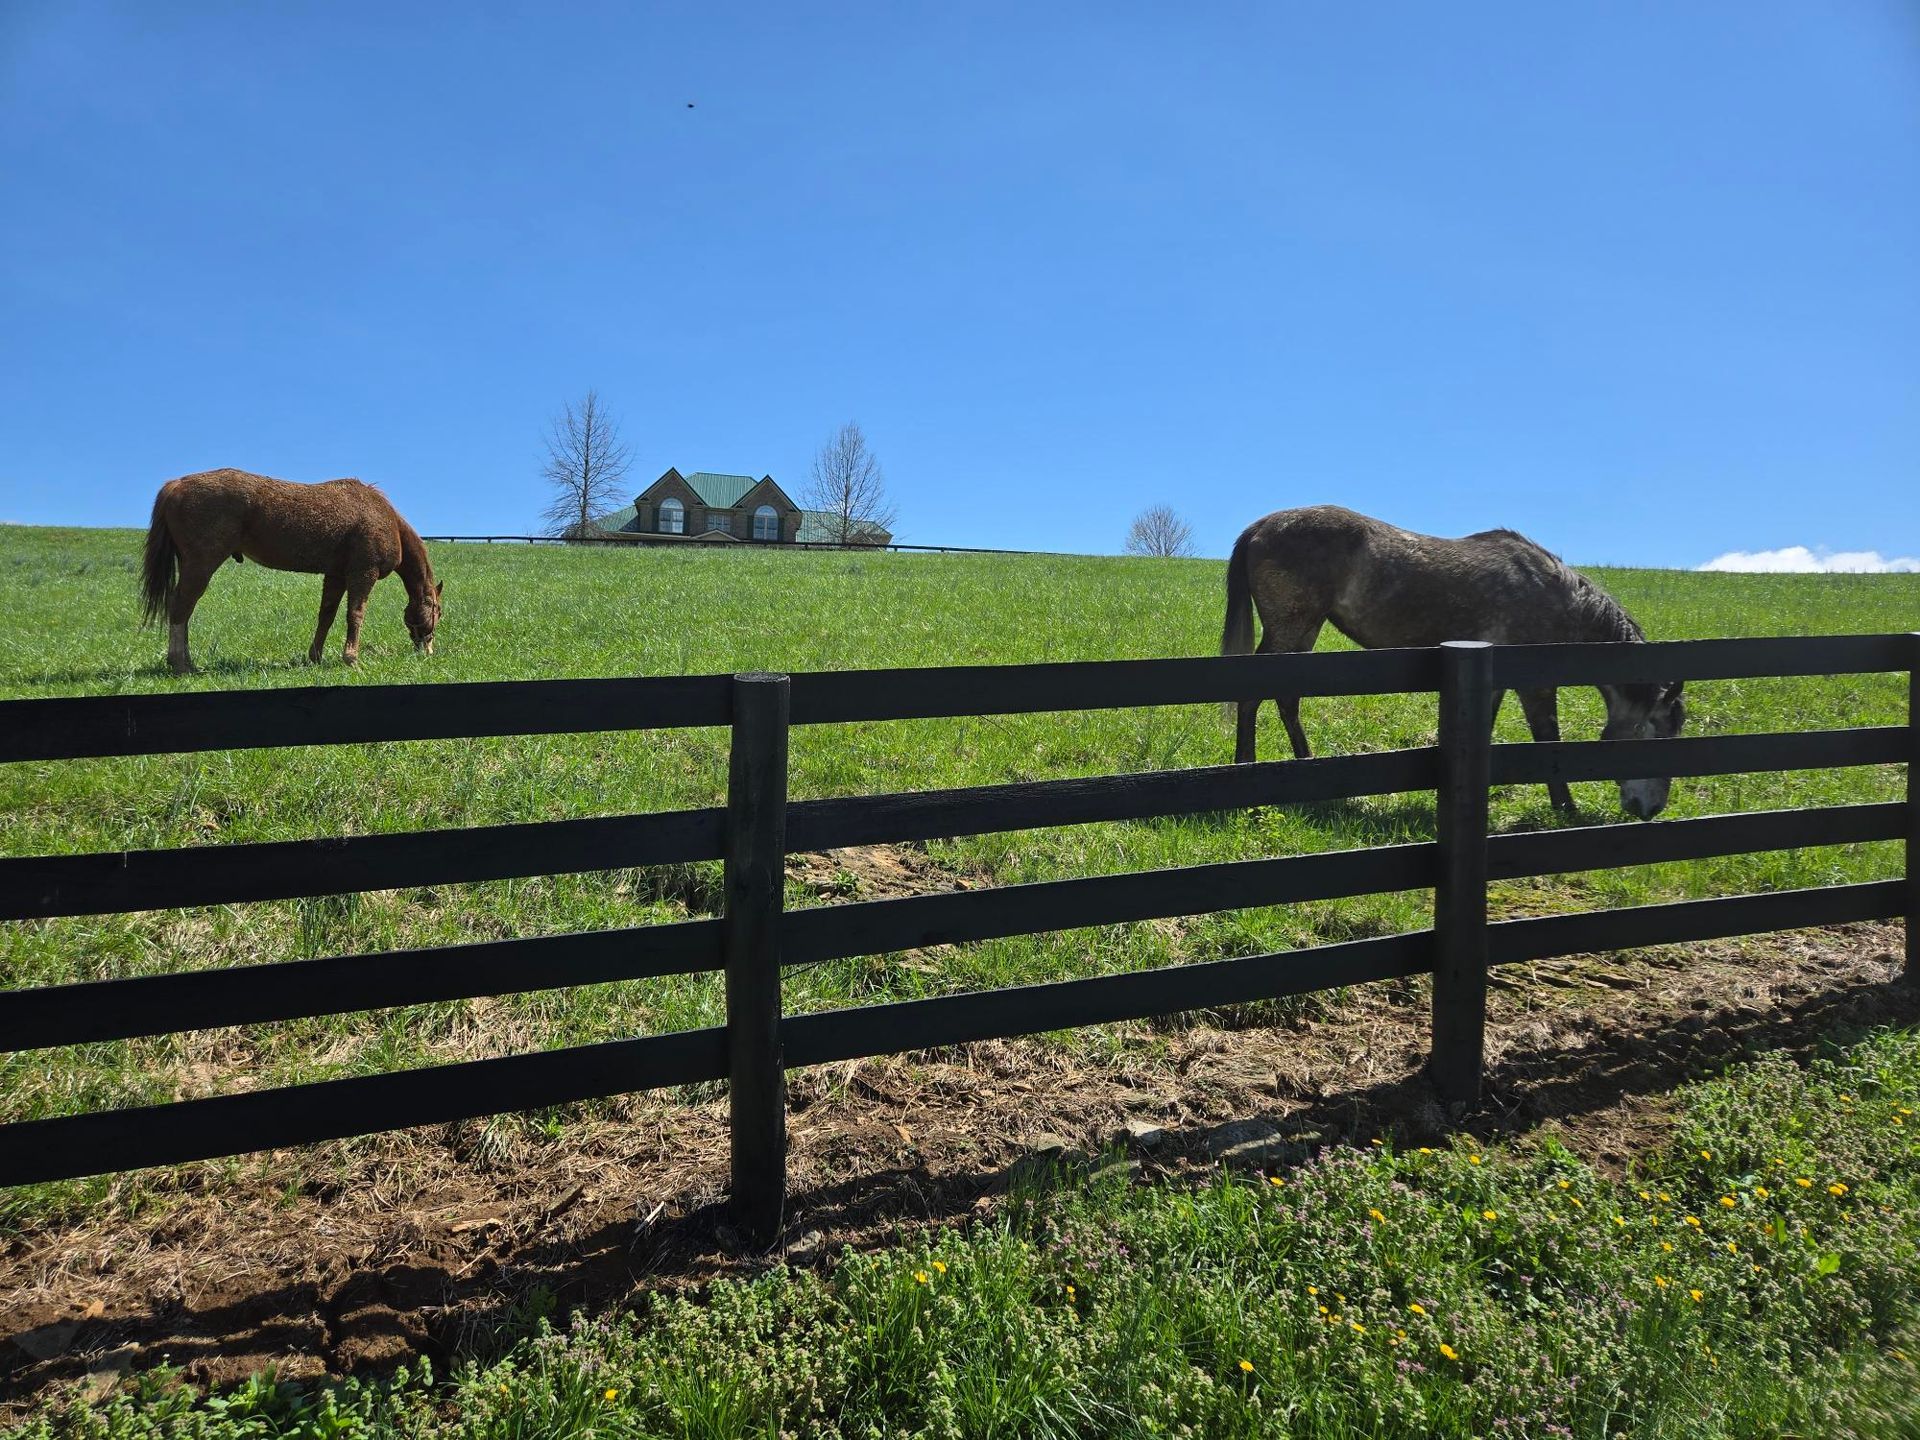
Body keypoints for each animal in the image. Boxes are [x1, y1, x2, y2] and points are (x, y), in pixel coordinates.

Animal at [141, 468, 443, 674]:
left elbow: (326, 616)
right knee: (181, 607)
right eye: (437, 612)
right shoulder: (362, 574)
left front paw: (316, 657)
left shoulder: (335, 576)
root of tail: (177, 484)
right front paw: (351, 659)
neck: (387, 520)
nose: (427, 650)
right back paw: (180, 665)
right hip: (201, 565)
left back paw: (188, 662)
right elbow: (355, 615)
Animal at [1220, 505, 1685, 818]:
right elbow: (1547, 739)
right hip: (1291, 627)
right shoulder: (1535, 684)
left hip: (1304, 631)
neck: (1557, 597)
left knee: (1287, 698)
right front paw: (1565, 806)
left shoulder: (1495, 681)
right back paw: (1246, 769)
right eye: (1659, 731)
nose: (1651, 808)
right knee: (1255, 695)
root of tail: (1260, 527)